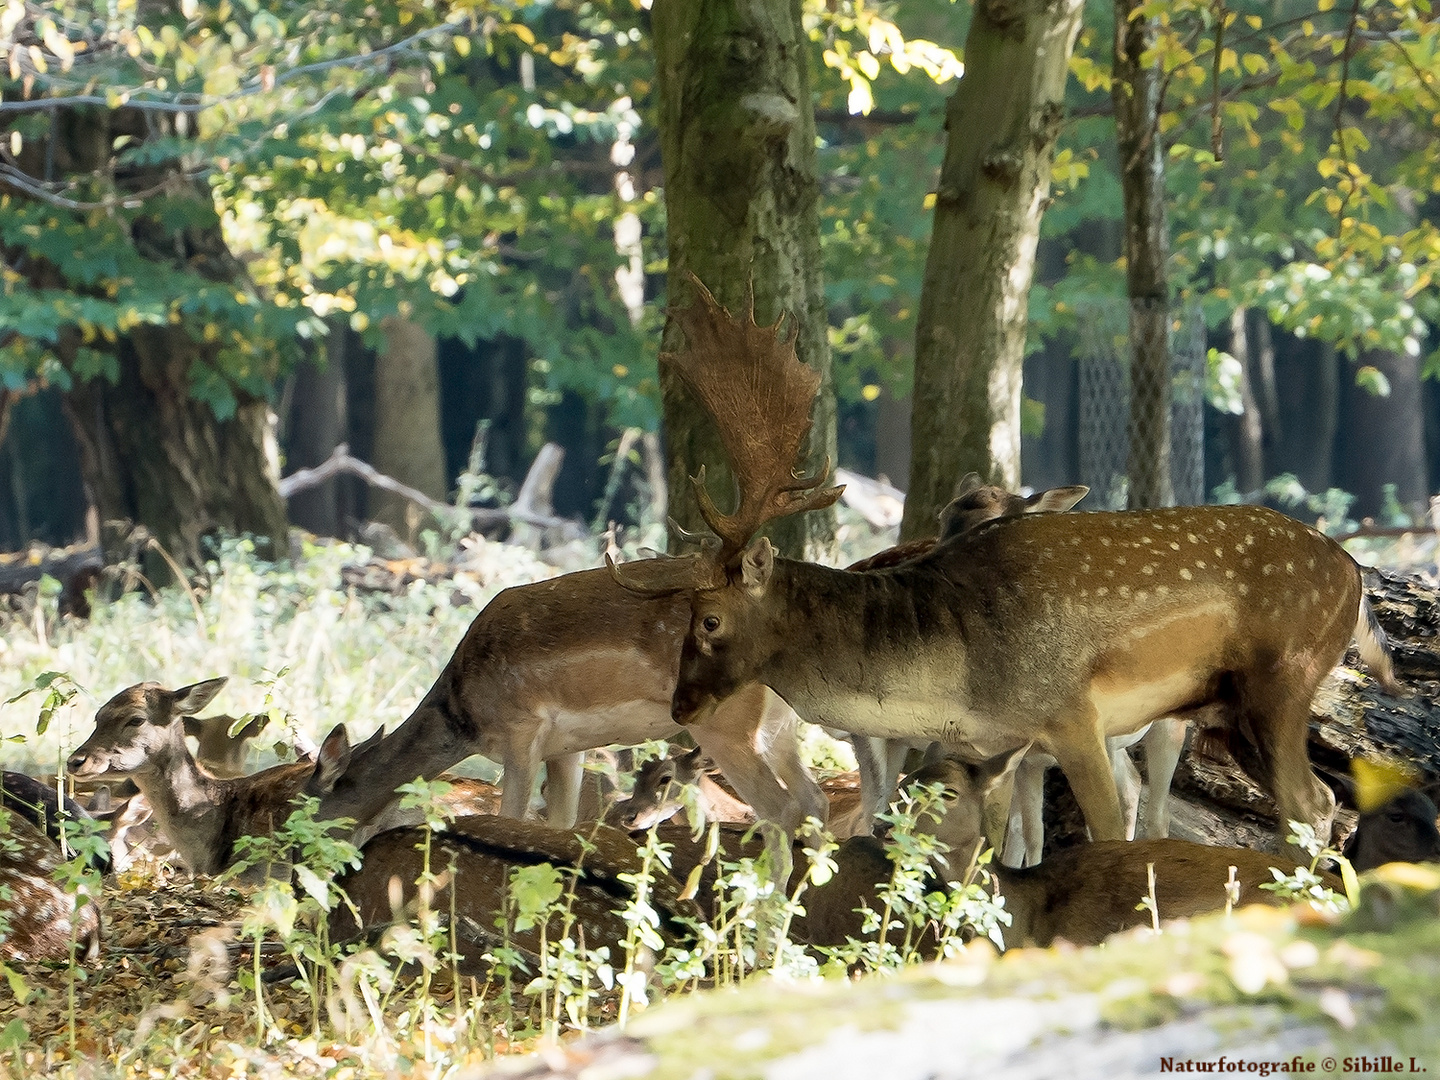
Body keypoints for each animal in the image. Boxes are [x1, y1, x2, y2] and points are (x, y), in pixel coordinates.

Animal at [613, 280, 1399, 852]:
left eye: (708, 619)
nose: (680, 706)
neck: (956, 674)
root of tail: (1355, 577)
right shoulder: (999, 748)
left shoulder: (1074, 714)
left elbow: (1104, 835)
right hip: (1231, 712)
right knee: (1315, 805)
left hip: (1283, 680)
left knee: (1311, 802)